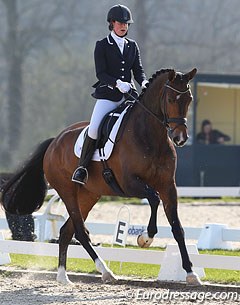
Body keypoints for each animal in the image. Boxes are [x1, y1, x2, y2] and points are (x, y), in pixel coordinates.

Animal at [0, 67, 201, 284]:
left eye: (189, 99)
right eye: (171, 99)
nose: (180, 138)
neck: (150, 136)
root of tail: (54, 142)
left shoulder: (168, 186)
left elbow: (177, 228)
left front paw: (191, 273)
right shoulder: (130, 183)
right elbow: (154, 199)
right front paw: (145, 238)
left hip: (89, 195)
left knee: (67, 231)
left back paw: (63, 276)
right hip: (68, 192)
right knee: (80, 231)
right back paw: (104, 271)